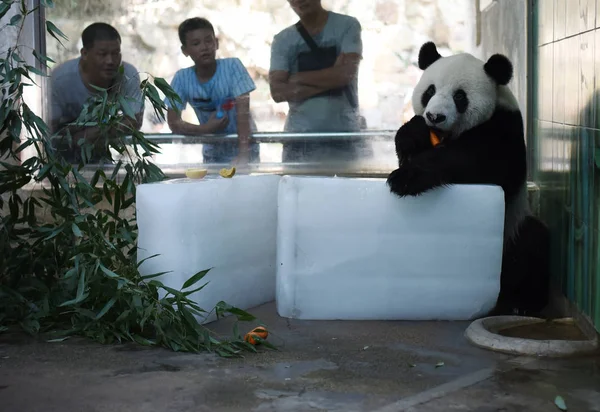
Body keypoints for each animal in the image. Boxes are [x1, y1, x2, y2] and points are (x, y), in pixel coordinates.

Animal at [386, 41, 552, 318]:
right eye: (430, 91)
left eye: (460, 96)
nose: (435, 117)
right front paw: (412, 135)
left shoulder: (505, 126)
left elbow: (481, 163)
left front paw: (407, 178)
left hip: (511, 229)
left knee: (532, 242)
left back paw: (523, 304)